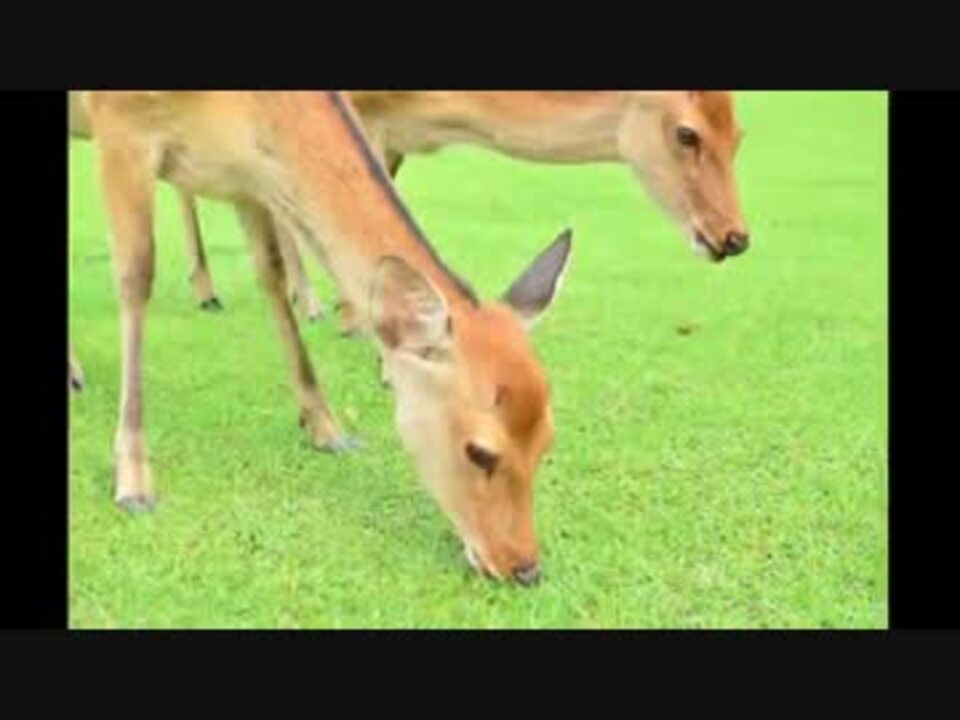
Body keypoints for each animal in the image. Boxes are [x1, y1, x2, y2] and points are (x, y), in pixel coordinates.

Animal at [75, 91, 573, 585]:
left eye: (548, 439)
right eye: (480, 452)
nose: (525, 567)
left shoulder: (247, 175)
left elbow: (271, 274)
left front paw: (328, 429)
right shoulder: (119, 130)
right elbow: (135, 277)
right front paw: (133, 482)